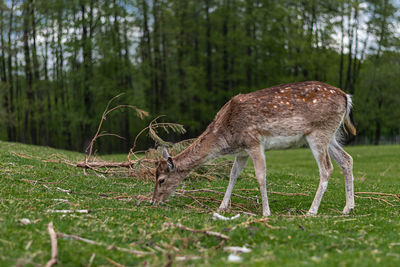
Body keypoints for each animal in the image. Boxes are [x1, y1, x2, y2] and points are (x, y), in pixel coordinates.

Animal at [151, 80, 356, 217]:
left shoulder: (254, 141)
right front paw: (222, 207)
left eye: (161, 180)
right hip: (331, 135)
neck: (226, 136)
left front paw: (266, 212)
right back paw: (348, 207)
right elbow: (233, 175)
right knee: (347, 159)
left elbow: (260, 175)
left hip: (318, 132)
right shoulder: (242, 151)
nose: (153, 201)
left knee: (327, 168)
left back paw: (311, 211)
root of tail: (346, 97)